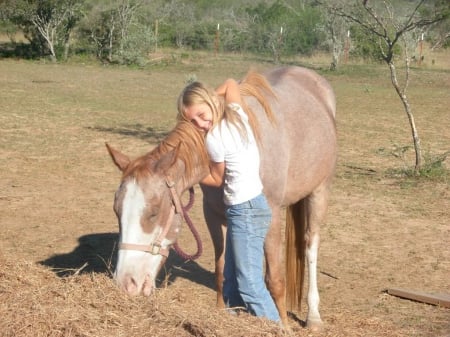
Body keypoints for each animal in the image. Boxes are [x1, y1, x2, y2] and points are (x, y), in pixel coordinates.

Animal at [106, 65, 338, 328]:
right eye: (117, 211)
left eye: (153, 213)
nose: (125, 283)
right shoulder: (214, 214)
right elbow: (221, 268)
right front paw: (222, 311)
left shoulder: (272, 215)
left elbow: (276, 279)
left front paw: (282, 326)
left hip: (319, 193)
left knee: (310, 246)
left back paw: (314, 316)